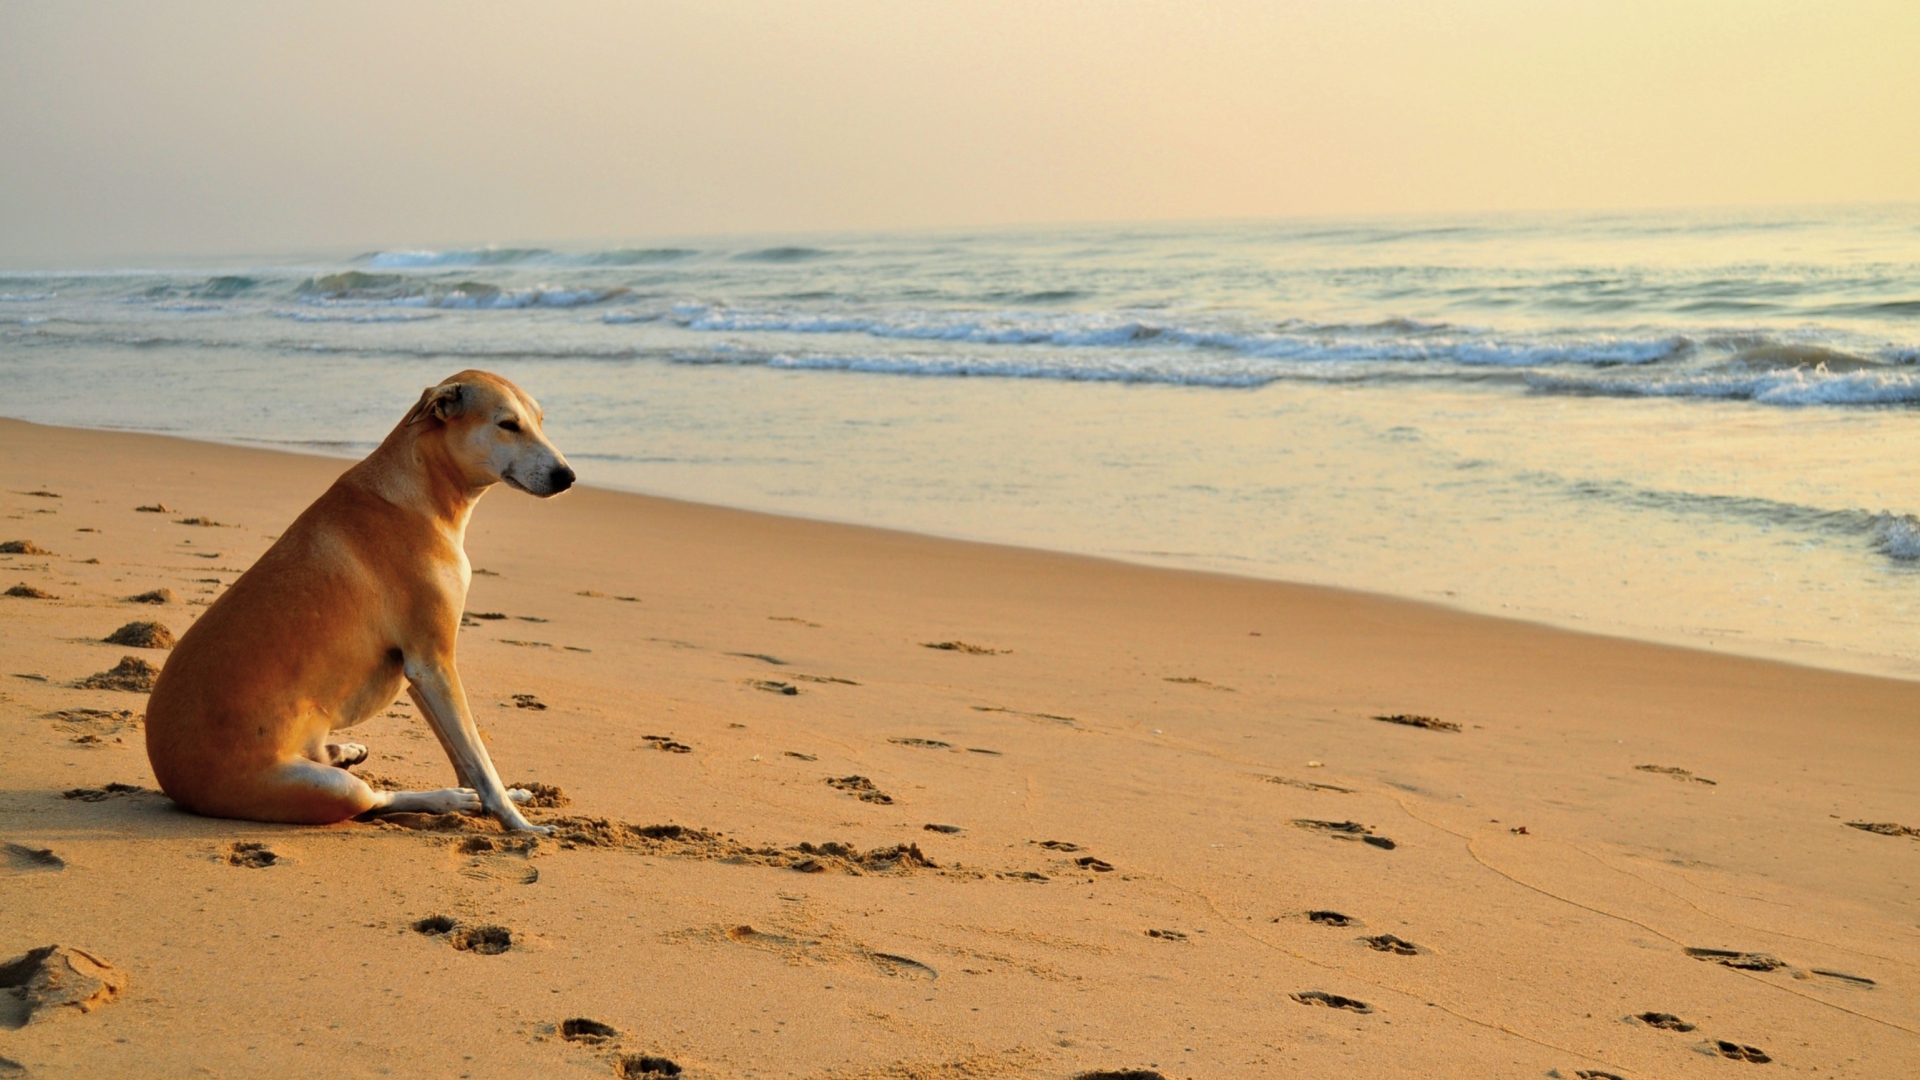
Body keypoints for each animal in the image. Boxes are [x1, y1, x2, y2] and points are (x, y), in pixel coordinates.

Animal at [145, 368, 572, 834]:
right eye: (507, 424)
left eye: (540, 421)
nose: (567, 477)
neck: (417, 491)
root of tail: (173, 781)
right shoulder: (433, 663)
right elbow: (479, 762)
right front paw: (517, 821)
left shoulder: (422, 674)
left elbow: (466, 758)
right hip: (324, 788)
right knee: (375, 800)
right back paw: (448, 797)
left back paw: (345, 752)